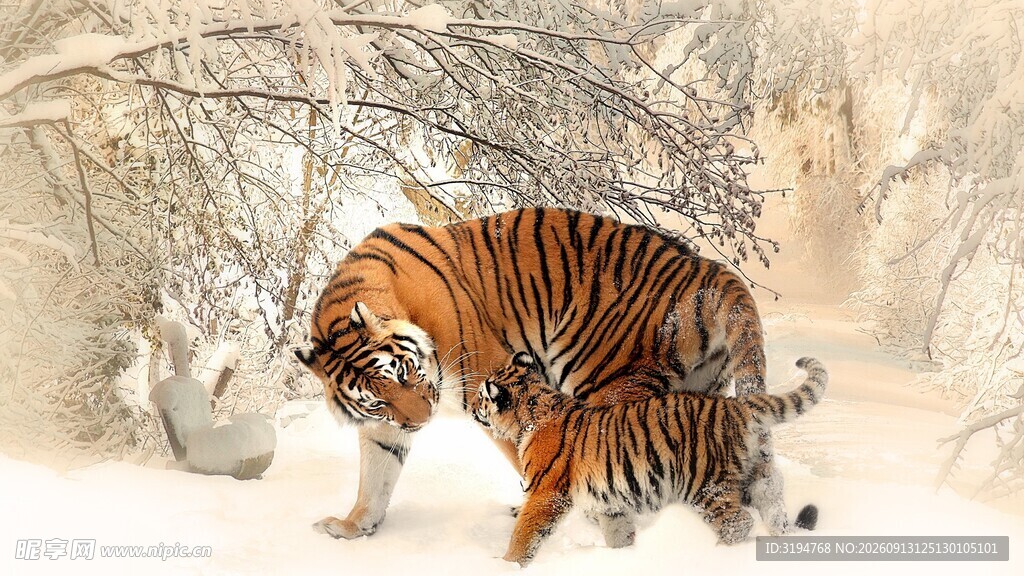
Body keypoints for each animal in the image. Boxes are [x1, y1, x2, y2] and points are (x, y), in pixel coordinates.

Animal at [294, 207, 795, 542]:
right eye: (377, 399)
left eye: (402, 373)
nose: (421, 421)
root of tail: (709, 269)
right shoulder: (385, 425)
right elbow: (375, 474)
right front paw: (353, 526)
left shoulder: (488, 381)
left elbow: (535, 459)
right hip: (699, 393)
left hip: (607, 382)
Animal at [473, 353, 828, 566]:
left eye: (481, 396)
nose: (473, 407)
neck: (532, 411)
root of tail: (735, 405)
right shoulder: (609, 502)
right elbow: (618, 532)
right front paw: (624, 558)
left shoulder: (546, 493)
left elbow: (524, 533)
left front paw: (506, 564)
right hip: (757, 477)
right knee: (774, 509)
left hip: (705, 485)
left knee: (737, 522)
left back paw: (718, 556)